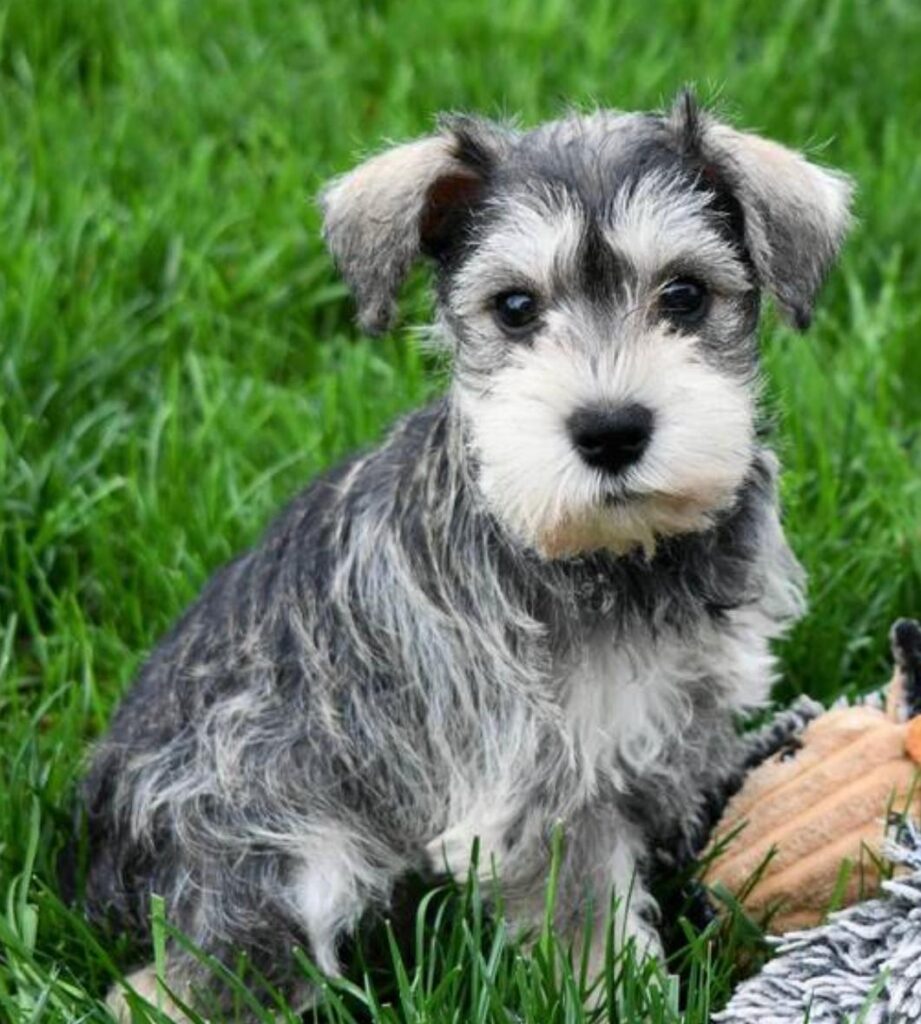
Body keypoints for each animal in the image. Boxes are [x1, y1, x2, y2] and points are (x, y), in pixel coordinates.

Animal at [81, 91, 852, 1018]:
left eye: (684, 294)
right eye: (514, 308)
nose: (610, 430)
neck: (613, 558)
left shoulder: (681, 710)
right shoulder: (539, 785)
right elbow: (586, 915)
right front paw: (618, 994)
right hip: (280, 855)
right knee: (178, 985)